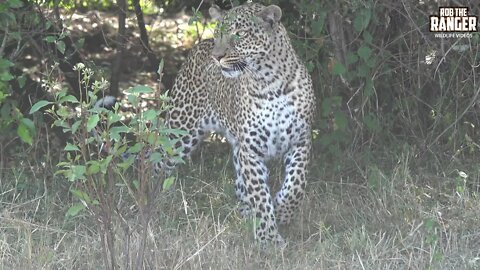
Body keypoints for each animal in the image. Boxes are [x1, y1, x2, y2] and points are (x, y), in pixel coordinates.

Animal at [163, 2, 316, 244]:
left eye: (240, 34)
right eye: (218, 33)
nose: (217, 57)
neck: (270, 84)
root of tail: (199, 45)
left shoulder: (301, 140)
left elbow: (296, 185)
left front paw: (282, 210)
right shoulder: (250, 150)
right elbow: (260, 195)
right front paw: (268, 238)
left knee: (240, 186)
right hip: (181, 129)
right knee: (157, 160)